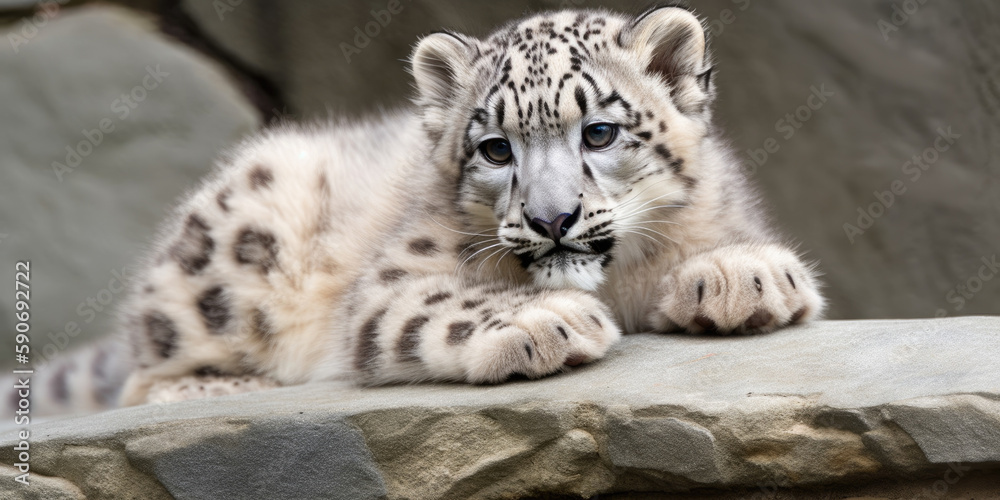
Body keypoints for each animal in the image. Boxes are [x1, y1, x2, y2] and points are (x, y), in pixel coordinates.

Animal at [24, 5, 824, 415]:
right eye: (495, 149)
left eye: (599, 132)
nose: (552, 219)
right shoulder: (390, 286)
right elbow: (445, 302)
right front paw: (549, 320)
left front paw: (745, 276)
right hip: (234, 236)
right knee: (145, 370)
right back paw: (214, 386)